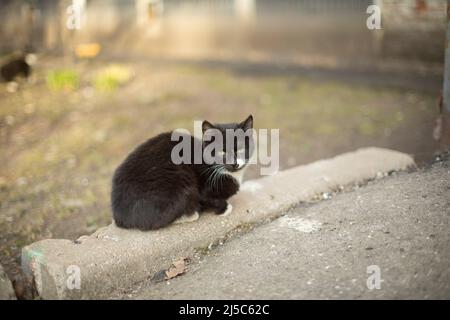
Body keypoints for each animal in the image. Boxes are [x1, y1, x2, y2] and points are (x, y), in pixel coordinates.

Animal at [111, 115, 255, 230]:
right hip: (181, 183)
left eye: (241, 149)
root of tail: (119, 215)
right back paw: (192, 214)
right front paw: (224, 208)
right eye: (222, 151)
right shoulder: (203, 190)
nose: (234, 163)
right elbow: (208, 199)